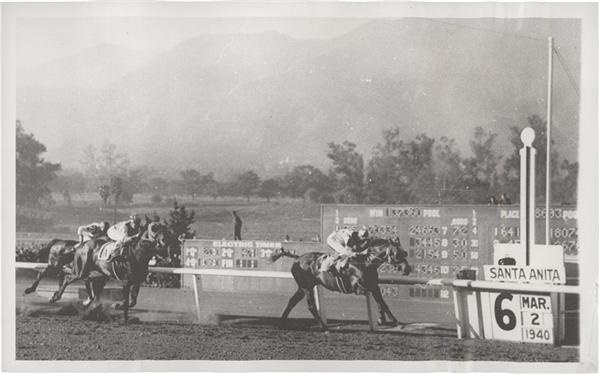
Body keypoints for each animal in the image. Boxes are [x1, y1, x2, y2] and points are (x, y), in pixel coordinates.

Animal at [270, 238, 410, 332]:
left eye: (405, 253)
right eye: (397, 253)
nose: (407, 269)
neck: (365, 262)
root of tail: (298, 258)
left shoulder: (374, 286)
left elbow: (383, 303)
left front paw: (394, 322)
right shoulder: (358, 288)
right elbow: (379, 301)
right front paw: (382, 319)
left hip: (303, 287)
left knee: (292, 301)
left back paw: (281, 324)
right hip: (307, 287)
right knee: (311, 306)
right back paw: (324, 327)